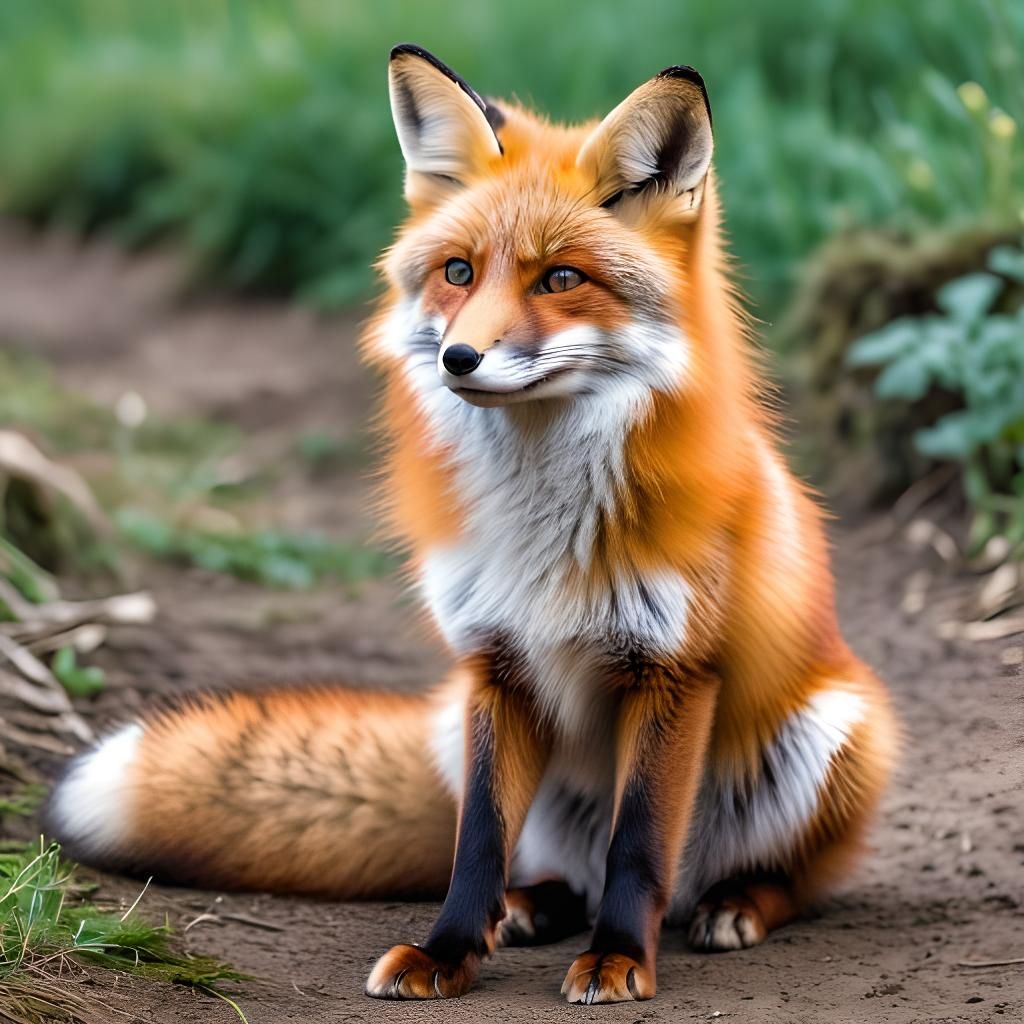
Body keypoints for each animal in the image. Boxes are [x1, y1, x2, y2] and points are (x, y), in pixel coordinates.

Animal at [45, 45, 897, 1004]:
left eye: (560, 279)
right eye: (458, 272)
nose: (460, 357)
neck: (544, 527)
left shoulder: (674, 672)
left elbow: (639, 843)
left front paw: (618, 959)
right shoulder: (495, 664)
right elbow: (478, 842)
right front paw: (449, 952)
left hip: (832, 732)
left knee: (779, 877)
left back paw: (735, 904)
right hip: (467, 724)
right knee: (556, 866)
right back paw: (534, 906)